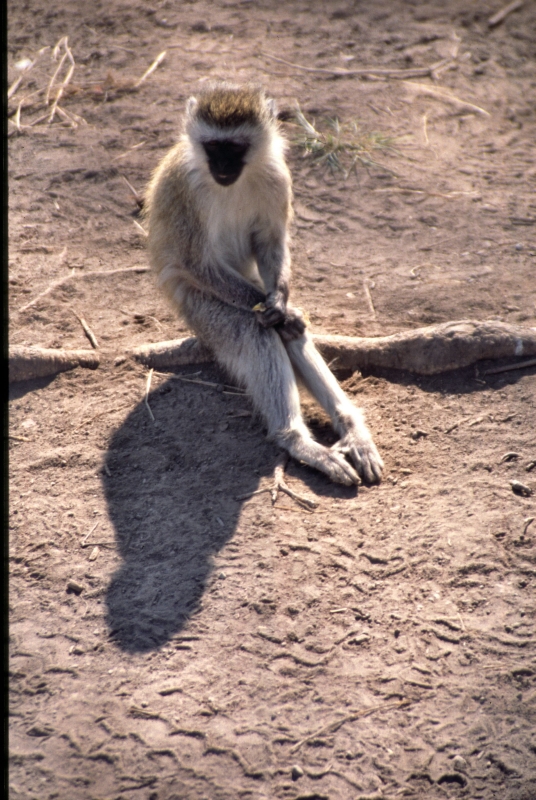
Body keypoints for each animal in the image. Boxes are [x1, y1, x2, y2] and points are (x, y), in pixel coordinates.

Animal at [144, 86, 384, 488]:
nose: (223, 168)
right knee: (253, 328)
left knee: (291, 334)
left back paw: (351, 428)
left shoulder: (277, 175)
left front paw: (283, 305)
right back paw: (298, 441)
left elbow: (270, 241)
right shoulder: (184, 188)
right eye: (213, 146)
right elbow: (197, 263)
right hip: (199, 310)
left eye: (236, 147)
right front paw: (274, 311)